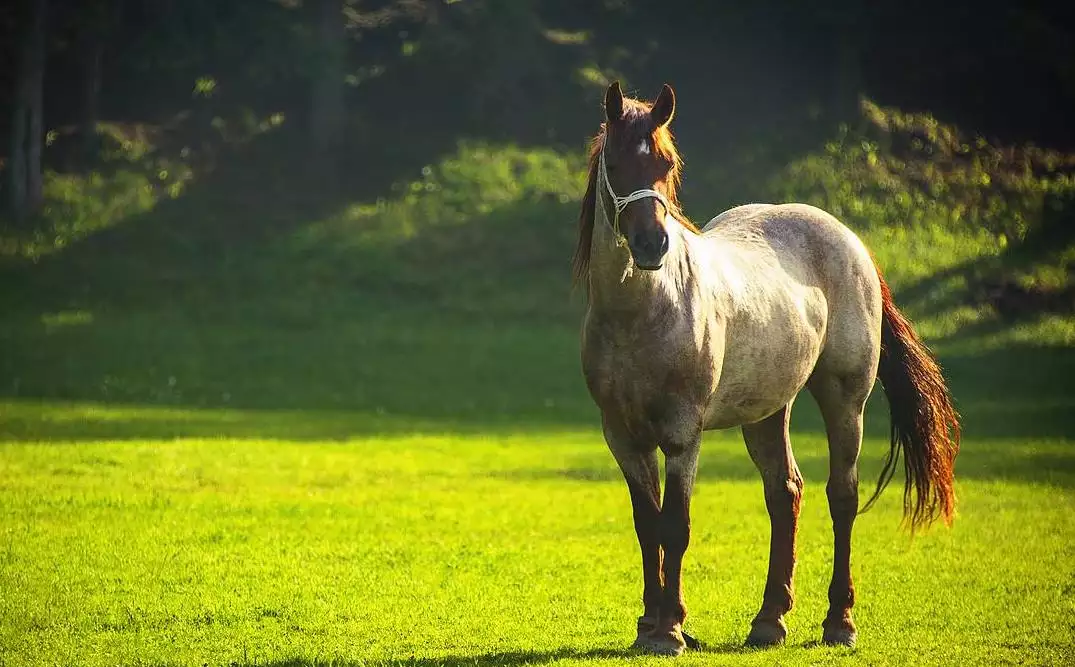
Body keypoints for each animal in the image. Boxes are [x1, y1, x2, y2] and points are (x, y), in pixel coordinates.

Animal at [576, 79, 963, 658]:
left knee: (841, 496)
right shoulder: (622, 436)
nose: (652, 245)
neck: (641, 313)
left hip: (845, 399)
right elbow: (648, 526)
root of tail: (850, 240)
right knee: (785, 494)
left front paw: (669, 631)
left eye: (666, 164)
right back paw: (769, 621)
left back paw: (839, 622)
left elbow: (675, 526)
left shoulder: (681, 435)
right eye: (617, 163)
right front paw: (651, 625)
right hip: (764, 413)